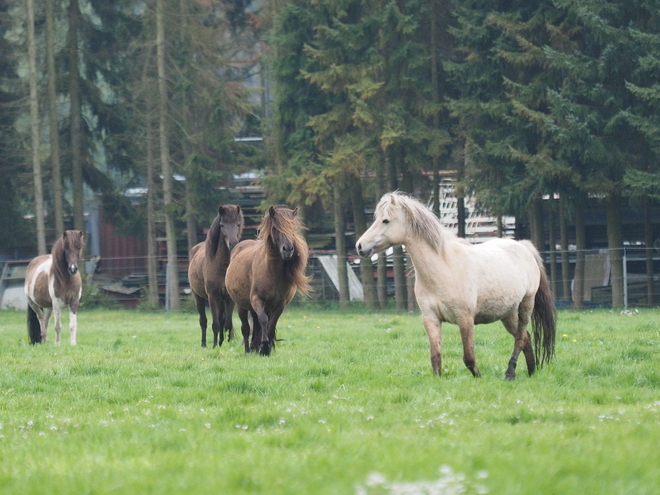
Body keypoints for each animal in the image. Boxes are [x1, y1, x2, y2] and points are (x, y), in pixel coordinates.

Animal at [187, 205, 244, 348]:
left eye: (238, 224)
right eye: (222, 225)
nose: (233, 243)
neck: (222, 267)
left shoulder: (229, 299)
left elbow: (227, 323)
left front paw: (227, 344)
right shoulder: (212, 296)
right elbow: (215, 324)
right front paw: (214, 346)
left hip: (221, 300)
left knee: (222, 319)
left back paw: (221, 341)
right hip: (199, 297)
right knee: (203, 320)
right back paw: (204, 344)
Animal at [226, 207, 310, 358]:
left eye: (293, 228)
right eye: (275, 228)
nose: (288, 249)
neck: (272, 272)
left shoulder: (280, 304)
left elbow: (271, 324)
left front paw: (267, 347)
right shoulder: (257, 299)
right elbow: (263, 320)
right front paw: (264, 346)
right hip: (241, 305)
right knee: (246, 328)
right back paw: (248, 350)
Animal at [356, 193, 556, 380]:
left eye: (386, 220)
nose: (360, 246)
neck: (444, 268)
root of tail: (524, 247)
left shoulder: (465, 319)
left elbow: (468, 357)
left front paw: (479, 378)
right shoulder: (431, 319)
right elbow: (435, 357)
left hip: (526, 305)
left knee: (520, 338)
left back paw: (510, 372)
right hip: (507, 313)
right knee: (526, 338)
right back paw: (531, 372)